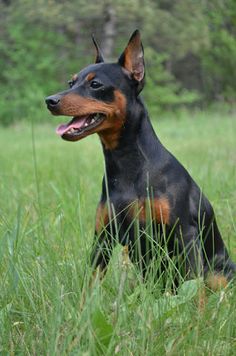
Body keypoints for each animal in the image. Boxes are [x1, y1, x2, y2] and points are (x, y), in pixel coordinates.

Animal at [45, 29, 234, 290]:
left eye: (95, 84)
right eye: (71, 83)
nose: (50, 100)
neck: (128, 164)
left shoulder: (185, 233)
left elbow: (195, 289)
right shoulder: (103, 236)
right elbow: (90, 285)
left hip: (218, 273)